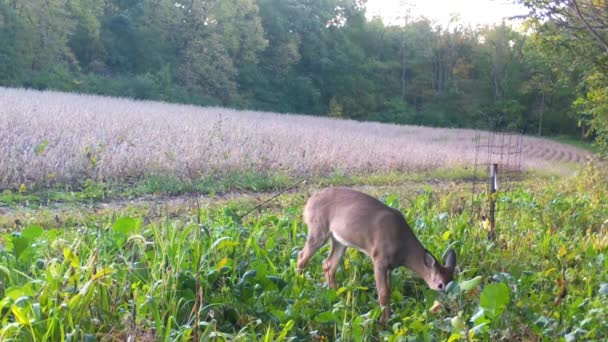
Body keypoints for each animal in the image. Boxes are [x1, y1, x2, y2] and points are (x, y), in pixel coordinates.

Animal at [294, 187, 456, 324]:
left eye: (453, 282)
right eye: (440, 285)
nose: (448, 306)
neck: (403, 249)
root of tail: (308, 204)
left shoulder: (390, 267)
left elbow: (389, 291)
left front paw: (388, 318)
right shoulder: (379, 259)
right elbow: (383, 293)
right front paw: (383, 322)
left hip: (339, 240)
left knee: (328, 265)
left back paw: (337, 297)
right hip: (318, 229)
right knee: (302, 256)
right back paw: (299, 286)